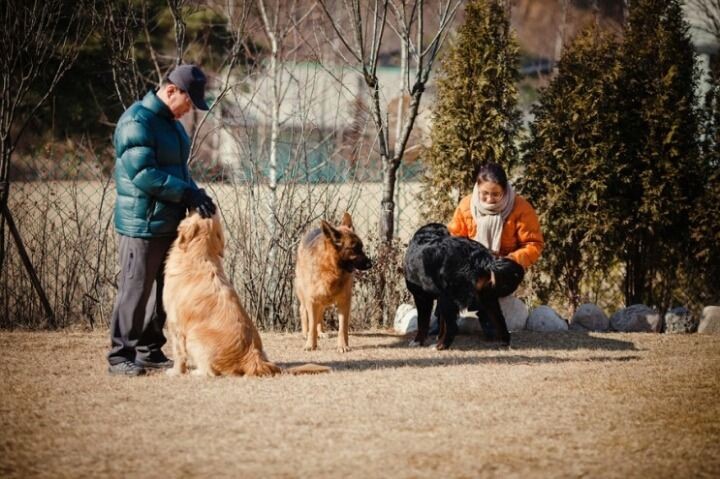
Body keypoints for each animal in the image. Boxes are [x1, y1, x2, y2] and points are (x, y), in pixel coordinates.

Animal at [163, 212, 330, 376]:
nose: (209, 203)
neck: (200, 254)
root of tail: (253, 356)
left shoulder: (175, 324)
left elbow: (178, 353)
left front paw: (175, 371)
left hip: (194, 336)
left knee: (210, 371)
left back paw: (197, 372)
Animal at [294, 214, 372, 352]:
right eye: (354, 249)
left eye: (361, 247)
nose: (371, 264)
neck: (331, 269)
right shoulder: (312, 300)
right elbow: (312, 325)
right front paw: (310, 344)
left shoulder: (344, 302)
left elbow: (342, 328)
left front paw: (343, 346)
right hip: (306, 296)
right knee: (303, 310)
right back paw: (305, 333)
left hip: (322, 300)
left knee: (320, 315)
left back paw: (321, 332)